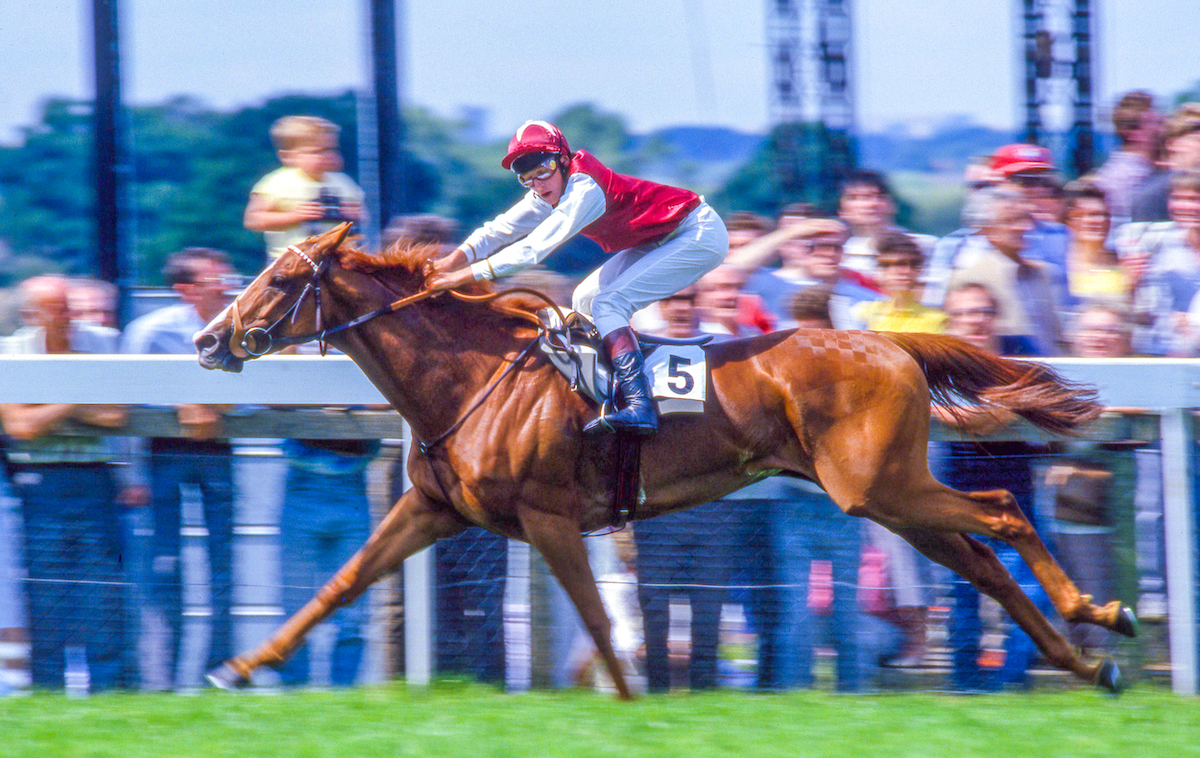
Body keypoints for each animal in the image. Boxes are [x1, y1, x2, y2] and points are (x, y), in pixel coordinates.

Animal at [194, 221, 1132, 695]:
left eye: (282, 281)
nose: (208, 339)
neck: (470, 376)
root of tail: (890, 342)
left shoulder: (548, 517)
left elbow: (599, 615)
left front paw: (630, 696)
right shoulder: (431, 508)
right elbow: (342, 581)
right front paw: (243, 666)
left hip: (878, 487)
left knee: (1002, 515)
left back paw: (1104, 613)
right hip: (889, 494)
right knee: (982, 561)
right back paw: (1086, 662)